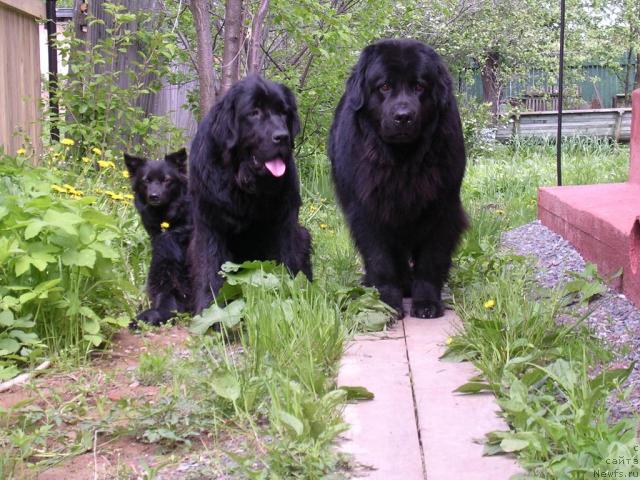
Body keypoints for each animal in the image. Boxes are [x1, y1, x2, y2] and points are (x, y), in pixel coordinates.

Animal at [188, 74, 312, 316]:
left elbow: (285, 261)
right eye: (254, 113)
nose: (282, 137)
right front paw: (211, 312)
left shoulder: (283, 222)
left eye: (283, 112)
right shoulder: (210, 224)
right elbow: (210, 268)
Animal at [328, 39, 468, 320]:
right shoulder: (367, 211)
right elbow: (380, 260)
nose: (403, 116)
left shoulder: (443, 208)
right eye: (384, 86)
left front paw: (427, 302)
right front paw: (387, 302)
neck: (402, 162)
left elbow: (431, 259)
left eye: (419, 86)